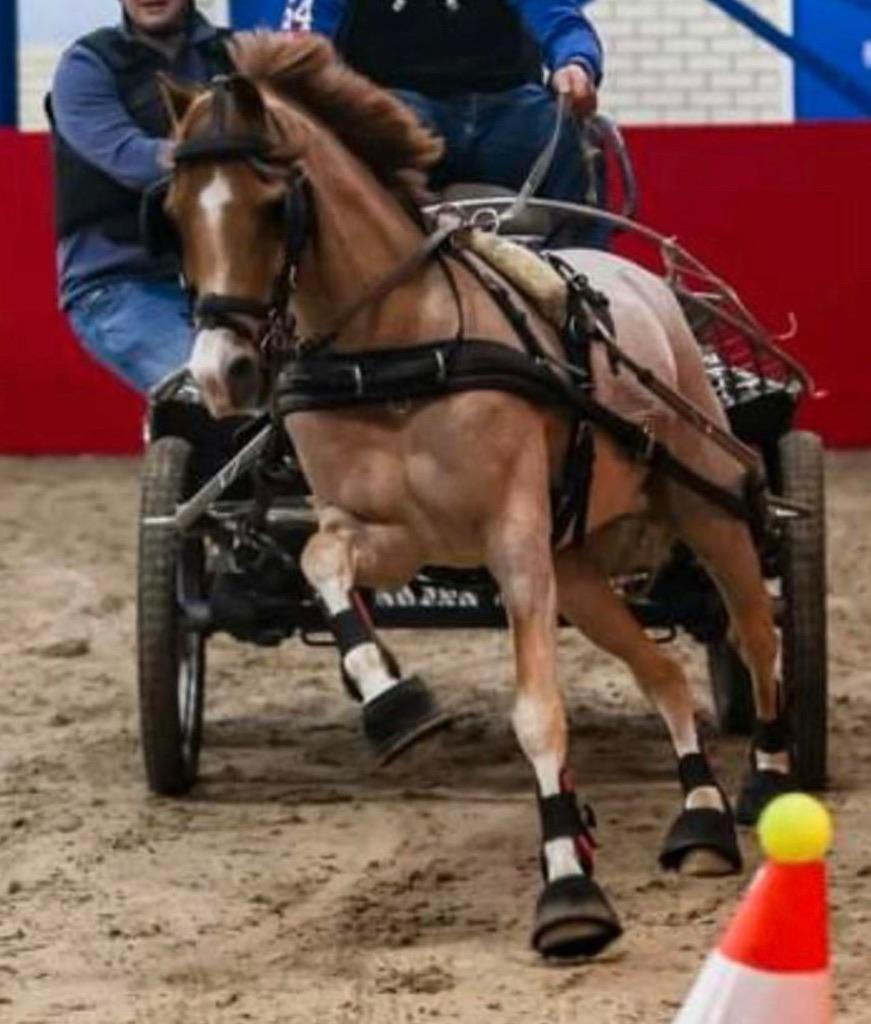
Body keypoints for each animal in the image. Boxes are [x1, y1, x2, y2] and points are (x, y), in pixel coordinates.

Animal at [154, 31, 793, 959]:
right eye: (170, 213)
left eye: (275, 206)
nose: (221, 374)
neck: (392, 351)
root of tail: (641, 281)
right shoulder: (392, 535)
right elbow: (320, 564)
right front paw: (392, 700)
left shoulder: (512, 538)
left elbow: (537, 713)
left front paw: (568, 888)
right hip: (579, 569)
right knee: (666, 672)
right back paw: (700, 820)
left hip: (705, 504)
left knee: (754, 634)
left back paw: (767, 783)